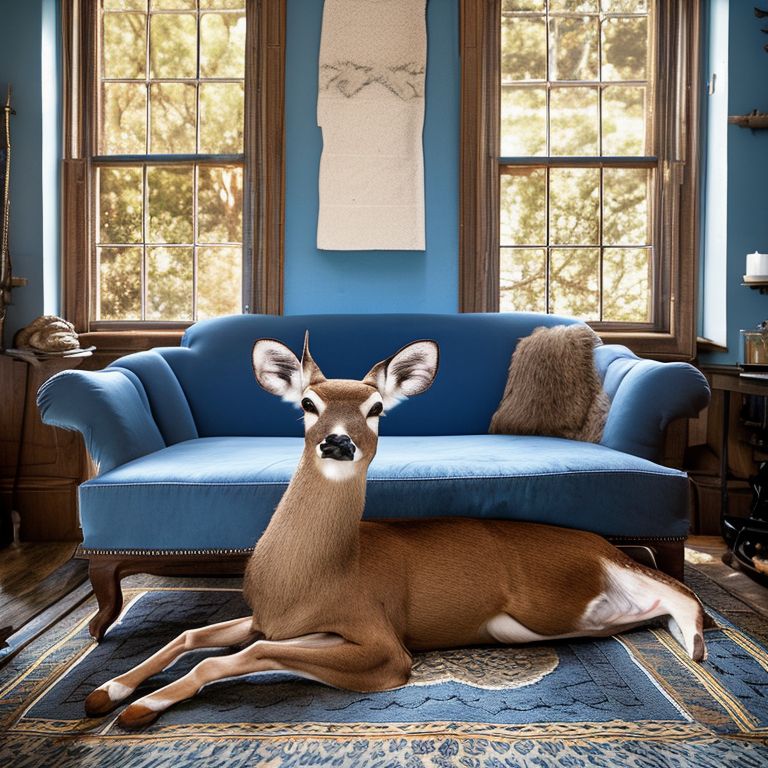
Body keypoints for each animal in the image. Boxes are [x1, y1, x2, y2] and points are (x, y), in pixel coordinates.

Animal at [84, 335, 708, 730]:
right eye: (307, 403)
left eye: (378, 408)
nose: (338, 441)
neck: (308, 579)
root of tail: (595, 546)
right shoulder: (272, 618)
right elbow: (191, 636)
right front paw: (107, 691)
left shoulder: (383, 644)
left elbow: (240, 653)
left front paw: (139, 708)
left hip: (557, 592)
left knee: (677, 586)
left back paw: (696, 644)